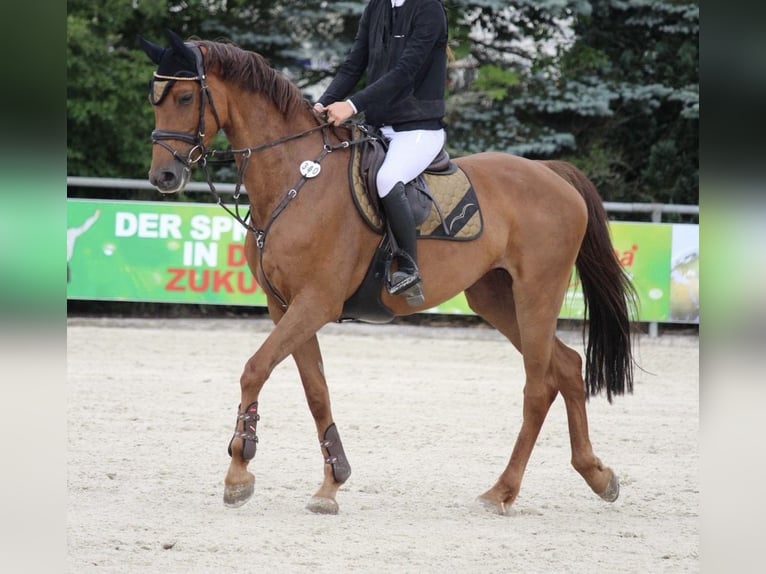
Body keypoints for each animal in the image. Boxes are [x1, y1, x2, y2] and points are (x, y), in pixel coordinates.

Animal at [141, 30, 640, 516]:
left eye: (184, 97)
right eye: (155, 98)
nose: (163, 177)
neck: (296, 178)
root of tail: (552, 174)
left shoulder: (315, 302)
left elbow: (255, 368)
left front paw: (239, 472)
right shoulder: (283, 305)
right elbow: (315, 390)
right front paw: (331, 483)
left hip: (537, 293)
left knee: (538, 387)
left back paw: (502, 492)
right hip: (495, 298)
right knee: (567, 367)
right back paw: (597, 476)